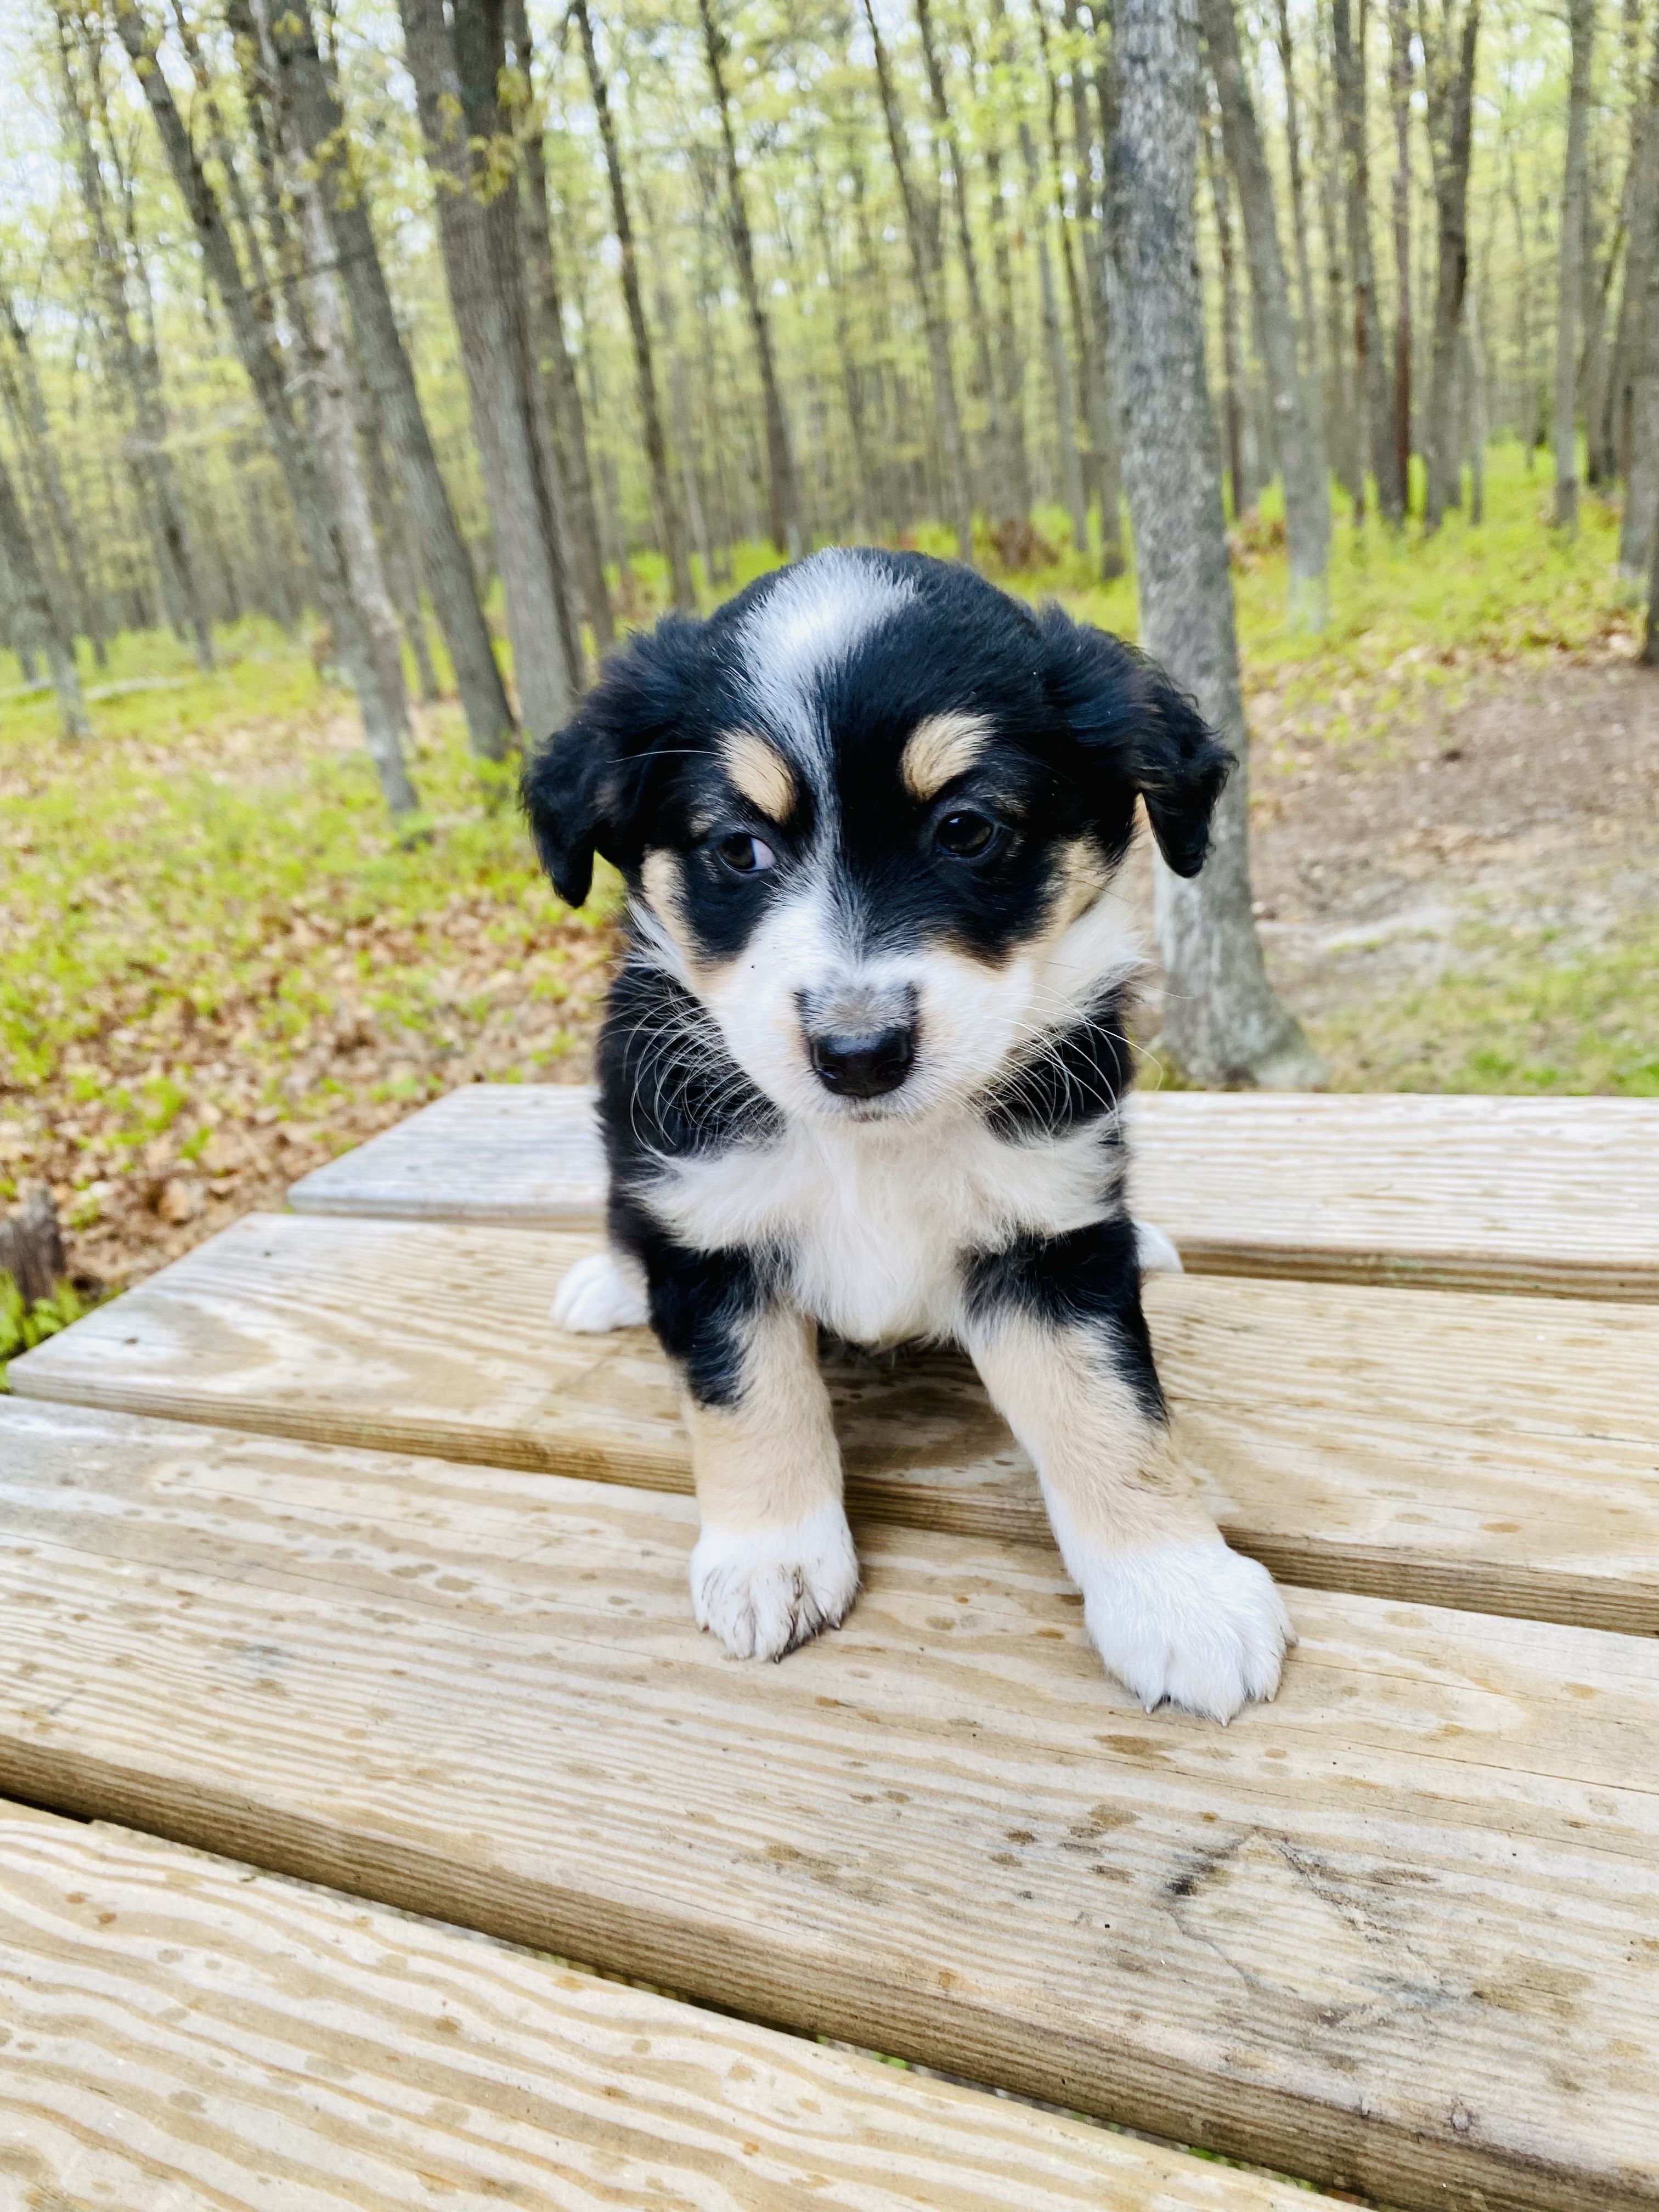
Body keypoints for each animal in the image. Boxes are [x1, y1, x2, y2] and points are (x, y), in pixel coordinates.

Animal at [522, 548, 1293, 1721]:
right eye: (737, 849)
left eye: (966, 829)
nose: (857, 1051)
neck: (871, 1146)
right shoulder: (712, 1227)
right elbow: (747, 1397)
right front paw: (769, 1557)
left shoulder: (1047, 1234)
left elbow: (1110, 1414)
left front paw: (1177, 1594)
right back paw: (609, 1282)